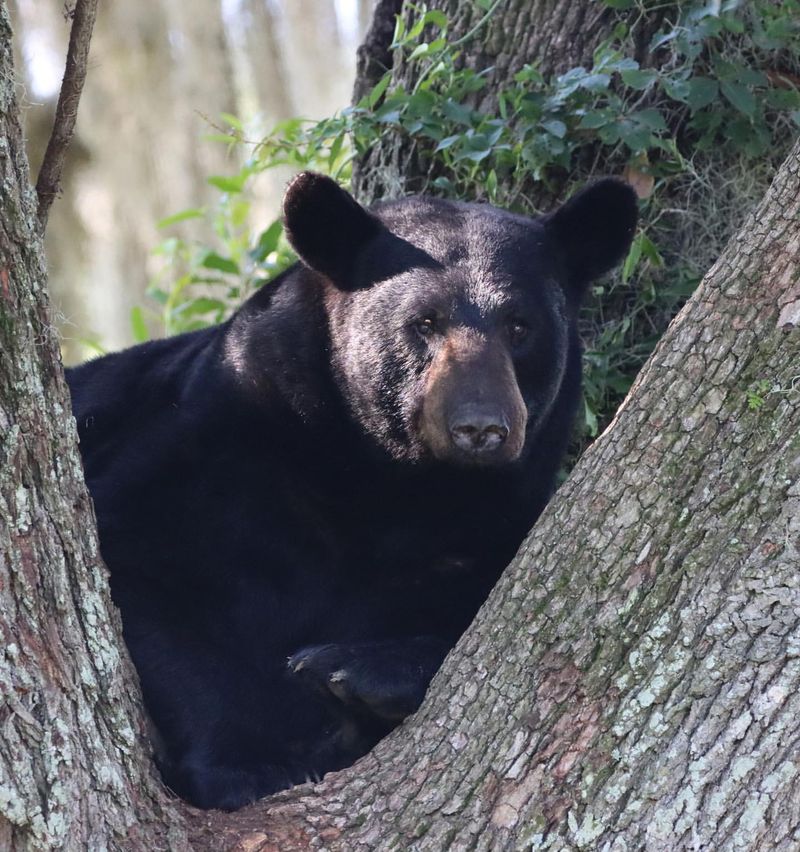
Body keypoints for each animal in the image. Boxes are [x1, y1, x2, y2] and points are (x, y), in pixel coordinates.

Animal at [65, 170, 636, 808]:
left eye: (520, 326)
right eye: (424, 322)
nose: (481, 427)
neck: (384, 482)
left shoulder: (492, 527)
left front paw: (350, 670)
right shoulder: (207, 454)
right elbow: (145, 572)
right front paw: (252, 763)